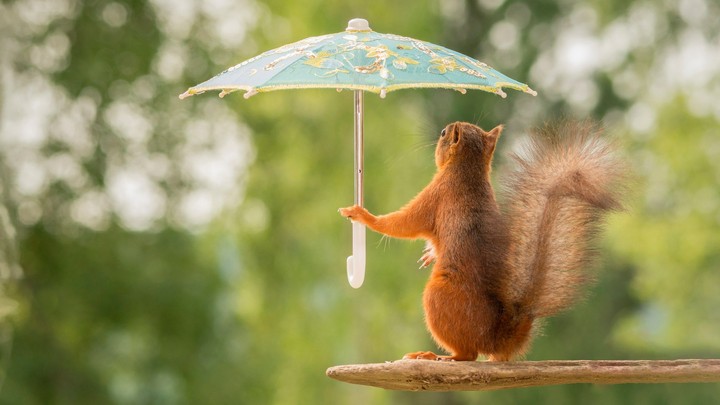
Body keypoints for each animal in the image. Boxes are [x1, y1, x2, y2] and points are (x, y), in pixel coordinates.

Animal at [339, 121, 626, 361]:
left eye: (443, 133)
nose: (437, 134)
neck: (468, 169)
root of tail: (496, 338)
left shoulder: (437, 193)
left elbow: (403, 223)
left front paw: (363, 215)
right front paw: (429, 254)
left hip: (438, 296)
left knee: (468, 355)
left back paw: (435, 356)